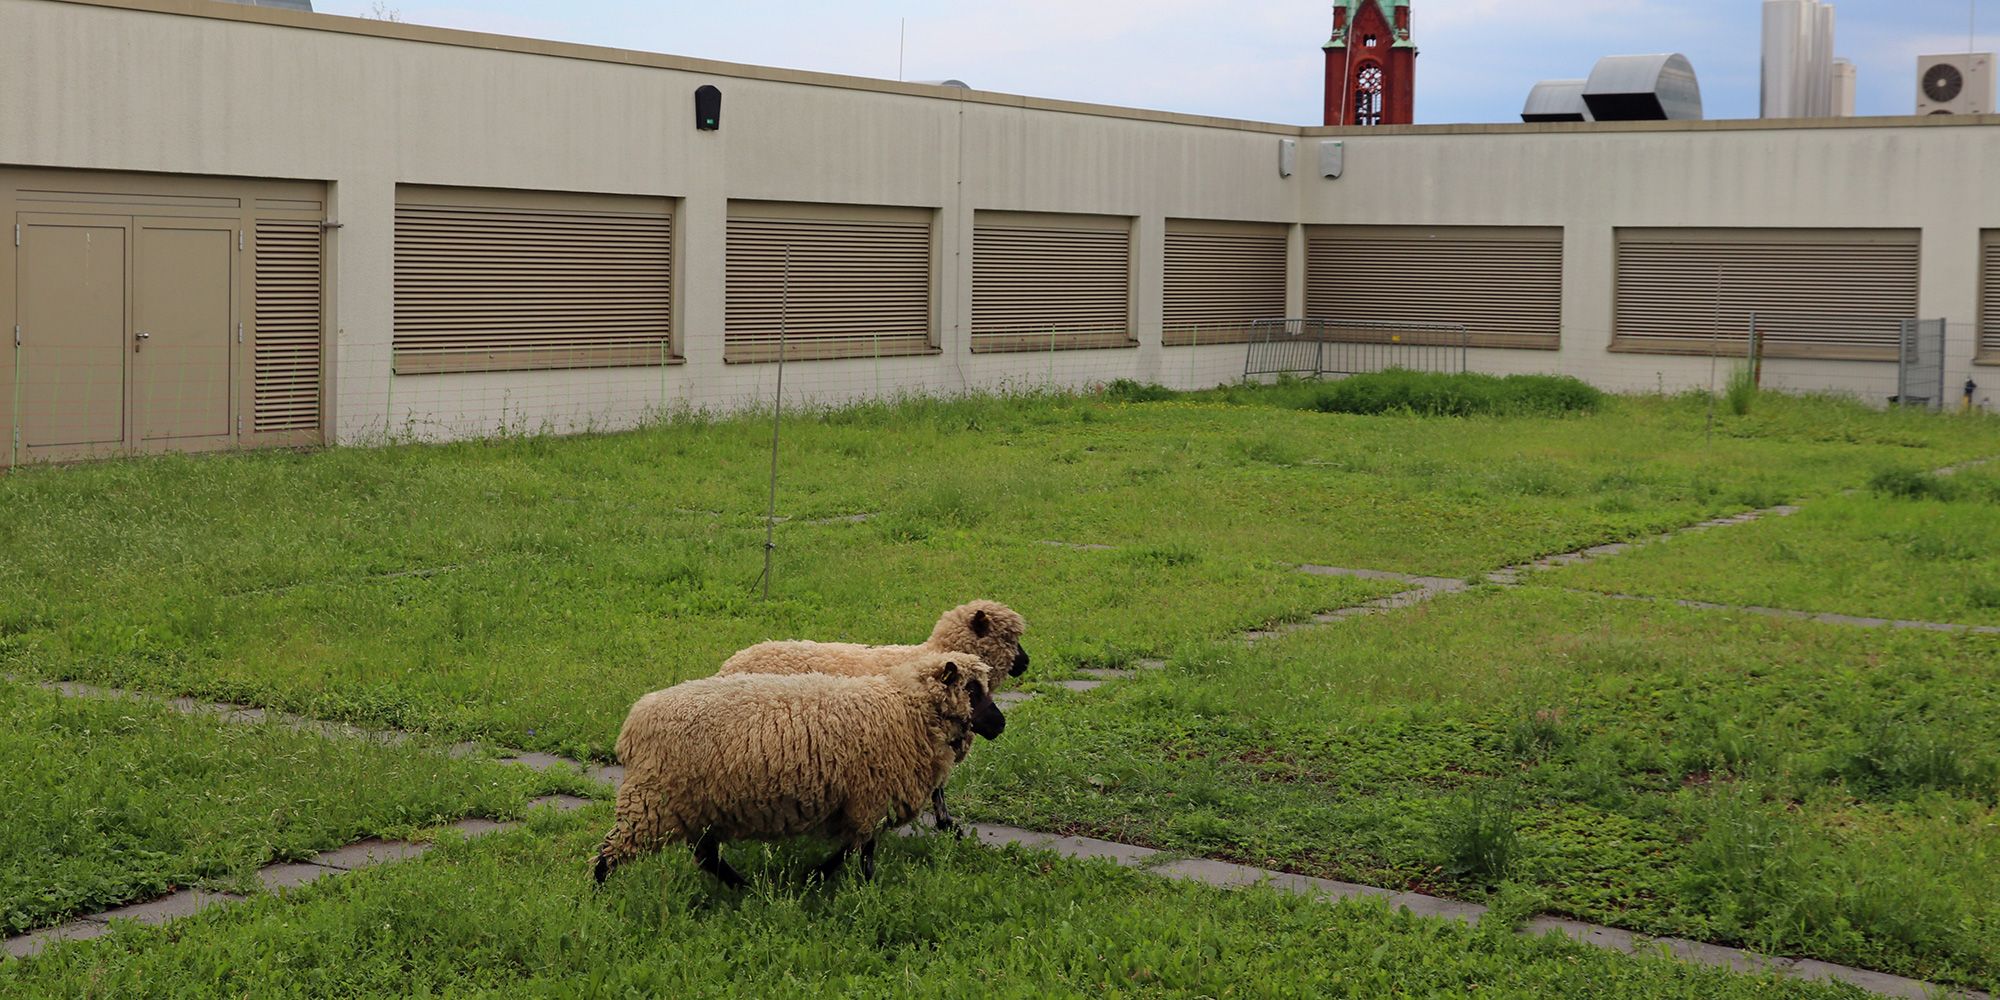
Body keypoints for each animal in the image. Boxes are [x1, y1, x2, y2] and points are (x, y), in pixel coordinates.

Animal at [593, 652, 1005, 889]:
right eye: (972, 689)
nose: (1000, 724)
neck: (906, 709)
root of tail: (634, 722)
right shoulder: (870, 798)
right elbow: (862, 853)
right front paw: (854, 887)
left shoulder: (863, 802)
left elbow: (854, 849)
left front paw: (816, 878)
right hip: (653, 801)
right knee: (609, 853)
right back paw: (599, 898)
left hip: (696, 806)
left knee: (706, 857)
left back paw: (746, 891)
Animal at [714, 599, 1030, 831]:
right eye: (1008, 637)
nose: (1026, 663)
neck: (932, 657)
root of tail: (729, 664)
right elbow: (937, 786)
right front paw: (946, 824)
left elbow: (938, 787)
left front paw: (946, 824)